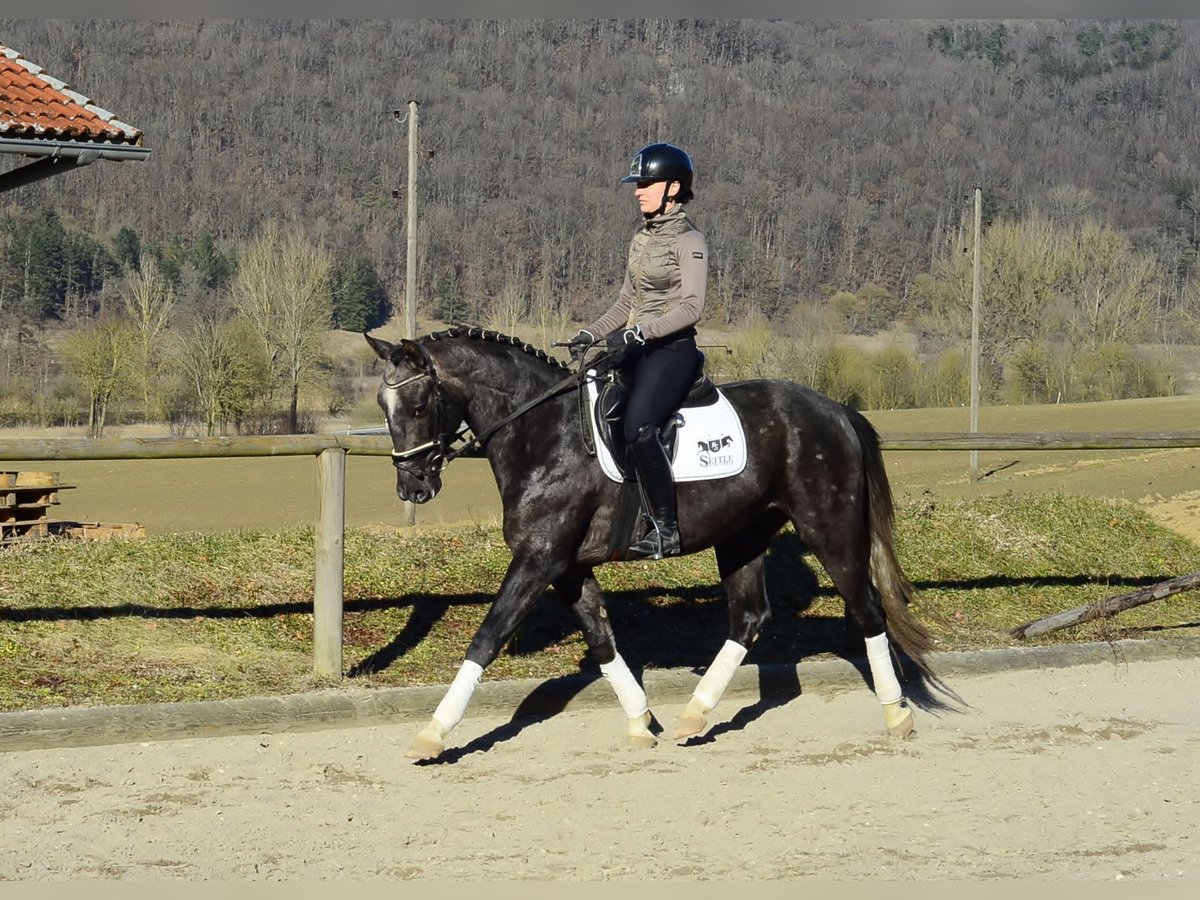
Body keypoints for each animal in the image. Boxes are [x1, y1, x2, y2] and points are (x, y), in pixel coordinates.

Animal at [364, 326, 936, 763]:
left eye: (419, 404)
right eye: (382, 405)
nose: (412, 488)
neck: (544, 433)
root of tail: (835, 411)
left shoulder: (538, 560)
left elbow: (486, 638)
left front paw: (433, 734)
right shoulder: (566, 566)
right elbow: (601, 638)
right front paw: (641, 721)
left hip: (829, 528)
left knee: (868, 609)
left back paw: (896, 714)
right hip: (743, 535)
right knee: (749, 618)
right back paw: (694, 716)